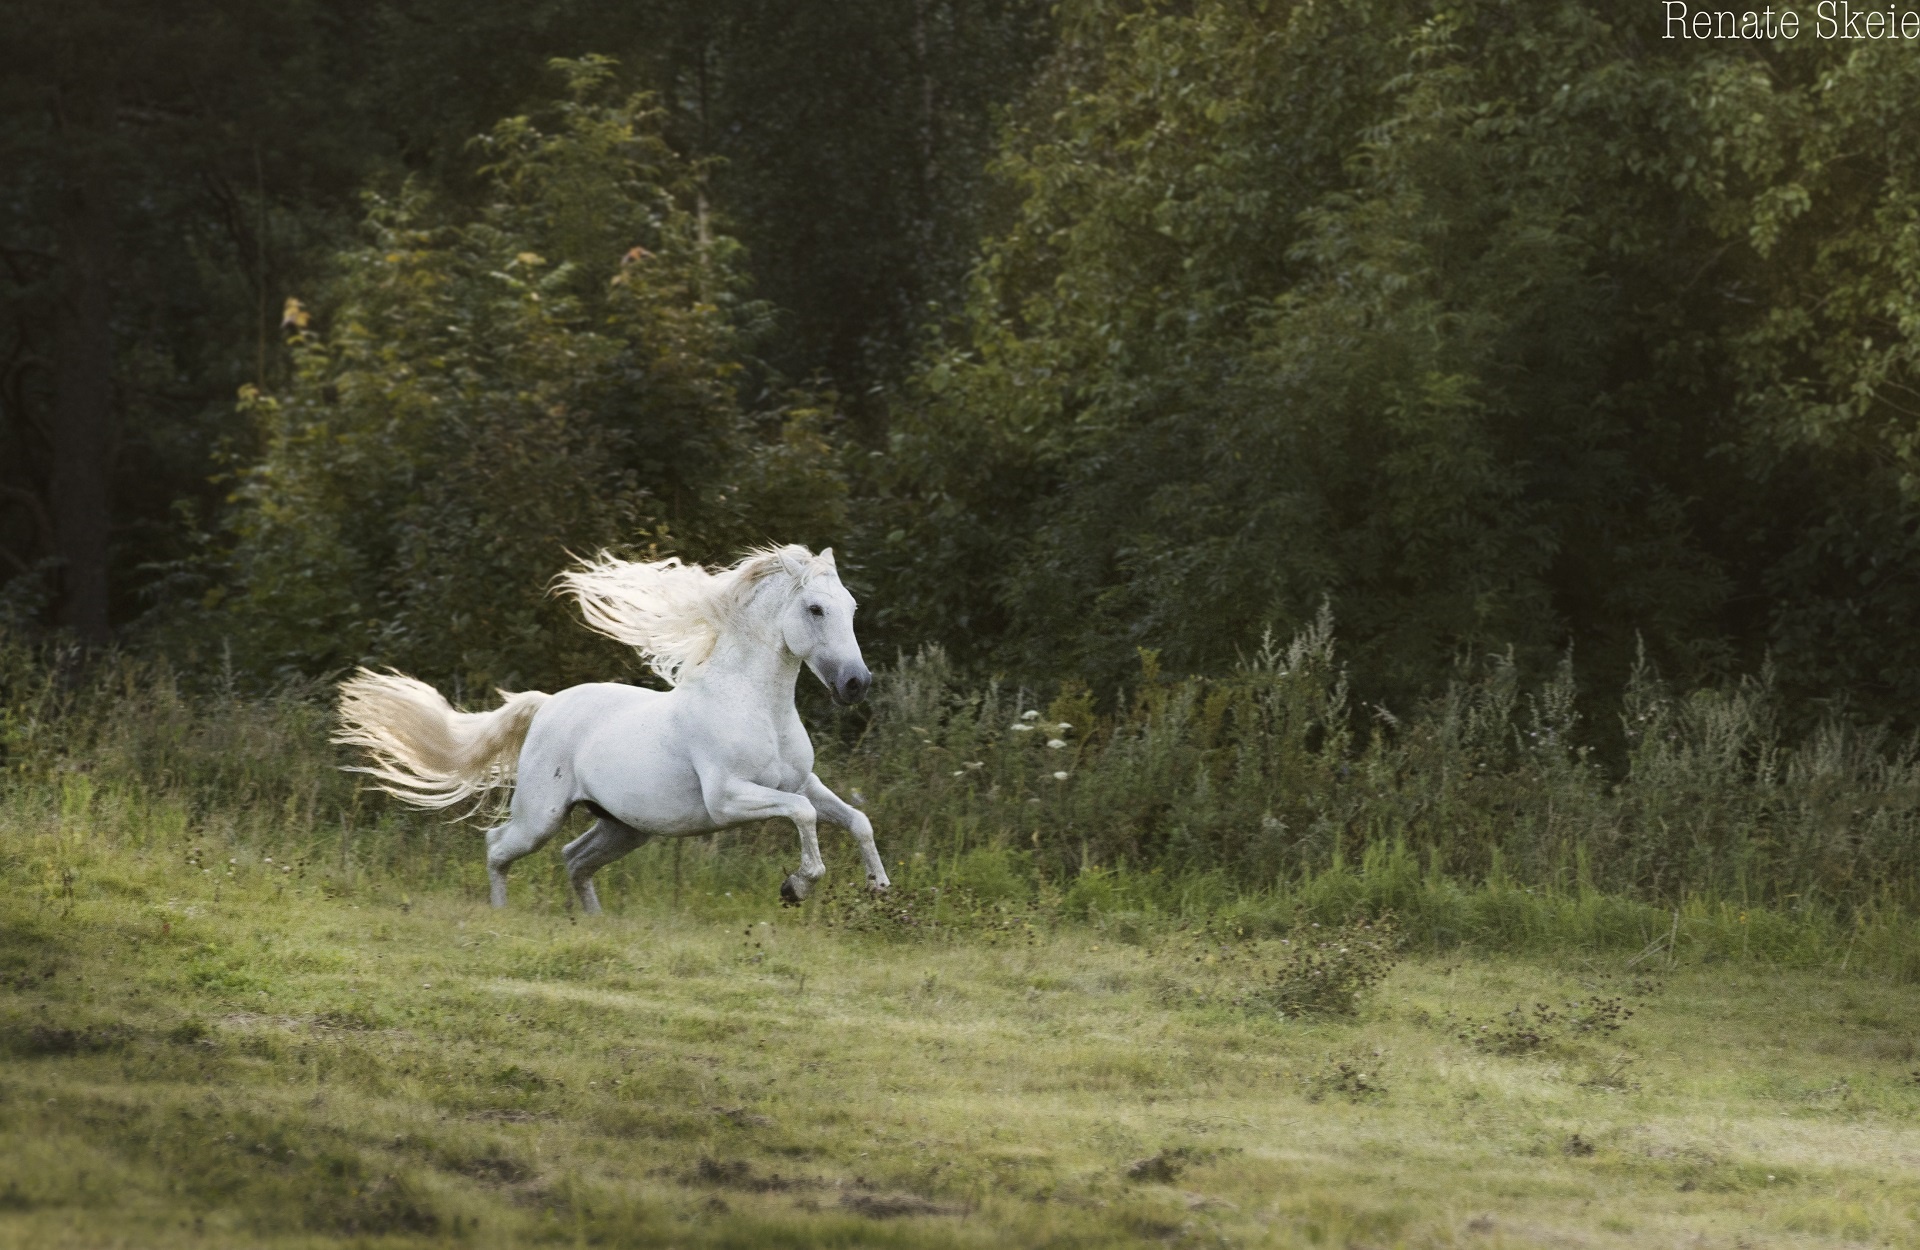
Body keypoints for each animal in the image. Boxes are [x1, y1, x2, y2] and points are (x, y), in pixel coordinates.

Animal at [332, 545, 890, 910]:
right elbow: (802, 816)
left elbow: (855, 819)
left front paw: (879, 887)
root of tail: (546, 705)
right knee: (498, 846)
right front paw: (796, 887)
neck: (756, 707)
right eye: (815, 608)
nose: (856, 683)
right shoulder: (728, 798)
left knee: (574, 859)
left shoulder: (802, 782)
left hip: (625, 827)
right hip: (542, 815)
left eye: (852, 607)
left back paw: (593, 924)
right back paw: (501, 916)